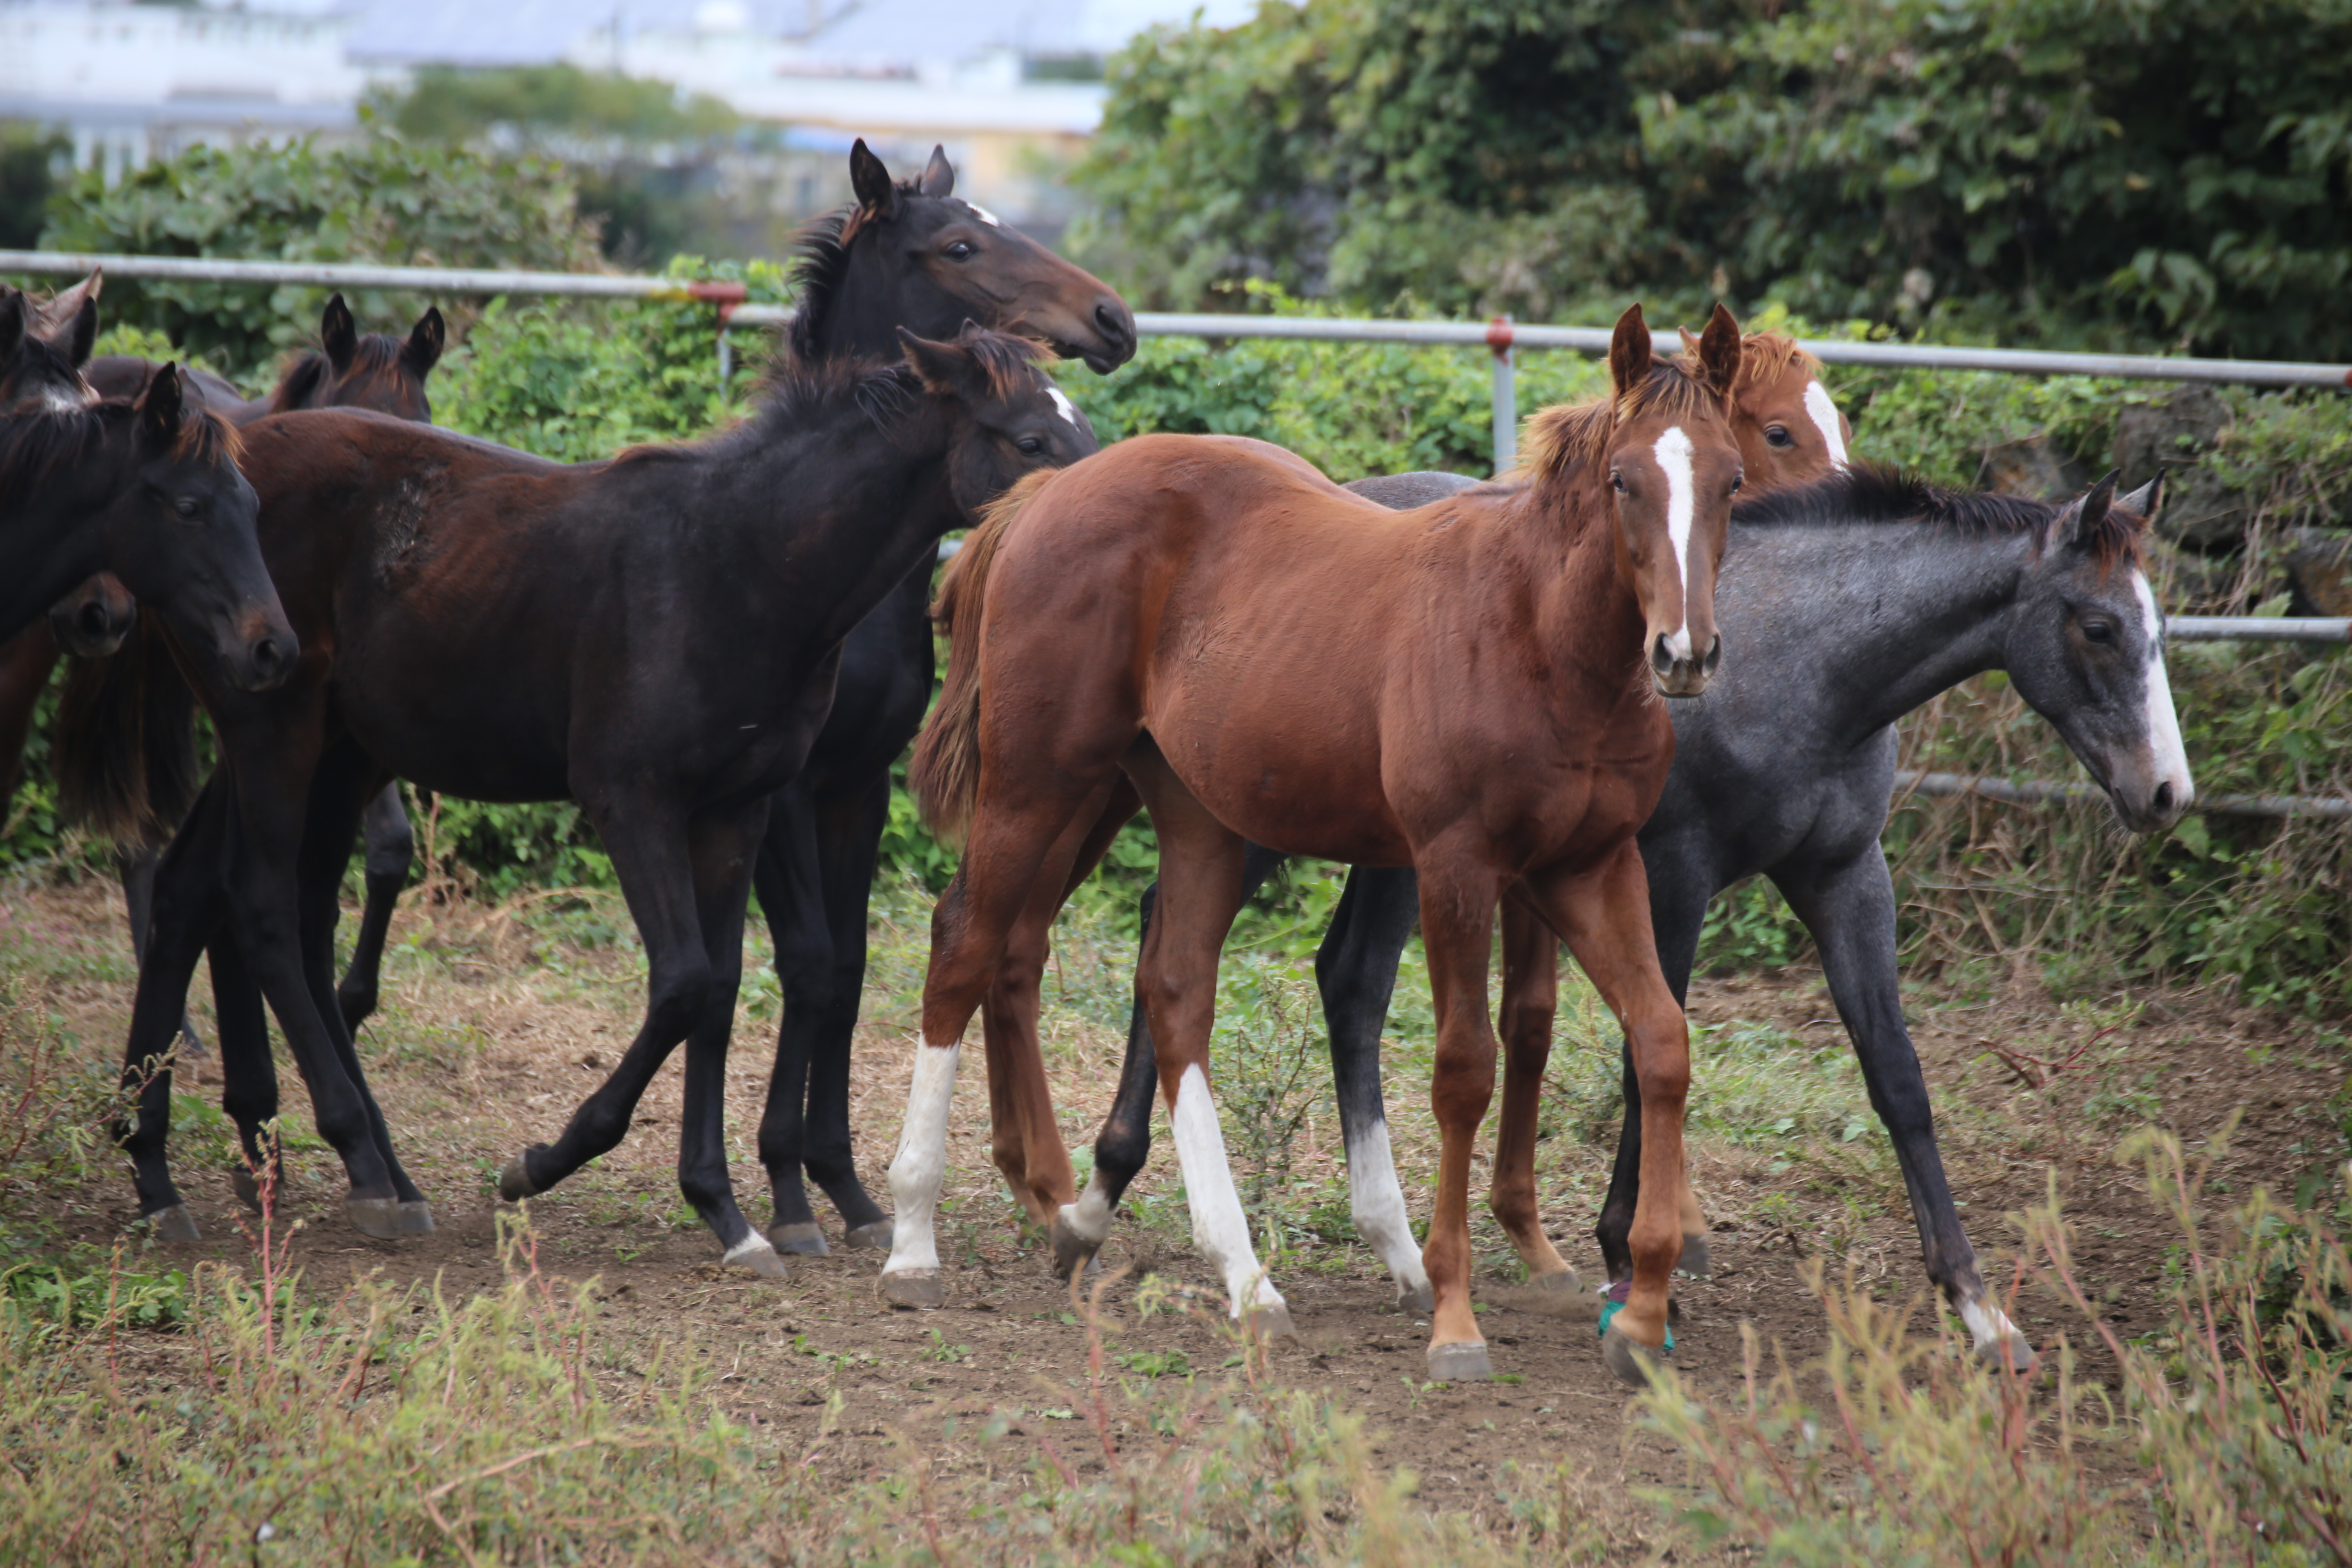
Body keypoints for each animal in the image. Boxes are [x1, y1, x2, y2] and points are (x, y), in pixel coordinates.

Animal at [889, 305, 1759, 1382]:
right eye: (1623, 480)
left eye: (1731, 480)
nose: (1684, 654)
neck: (1541, 637)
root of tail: (1044, 494)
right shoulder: (1455, 866)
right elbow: (1462, 1068)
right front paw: (1454, 1318)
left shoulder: (1589, 866)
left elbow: (1662, 1043)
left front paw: (1640, 1319)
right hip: (1038, 783)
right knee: (965, 942)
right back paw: (912, 1239)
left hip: (1196, 817)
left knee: (1173, 990)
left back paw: (1236, 1275)